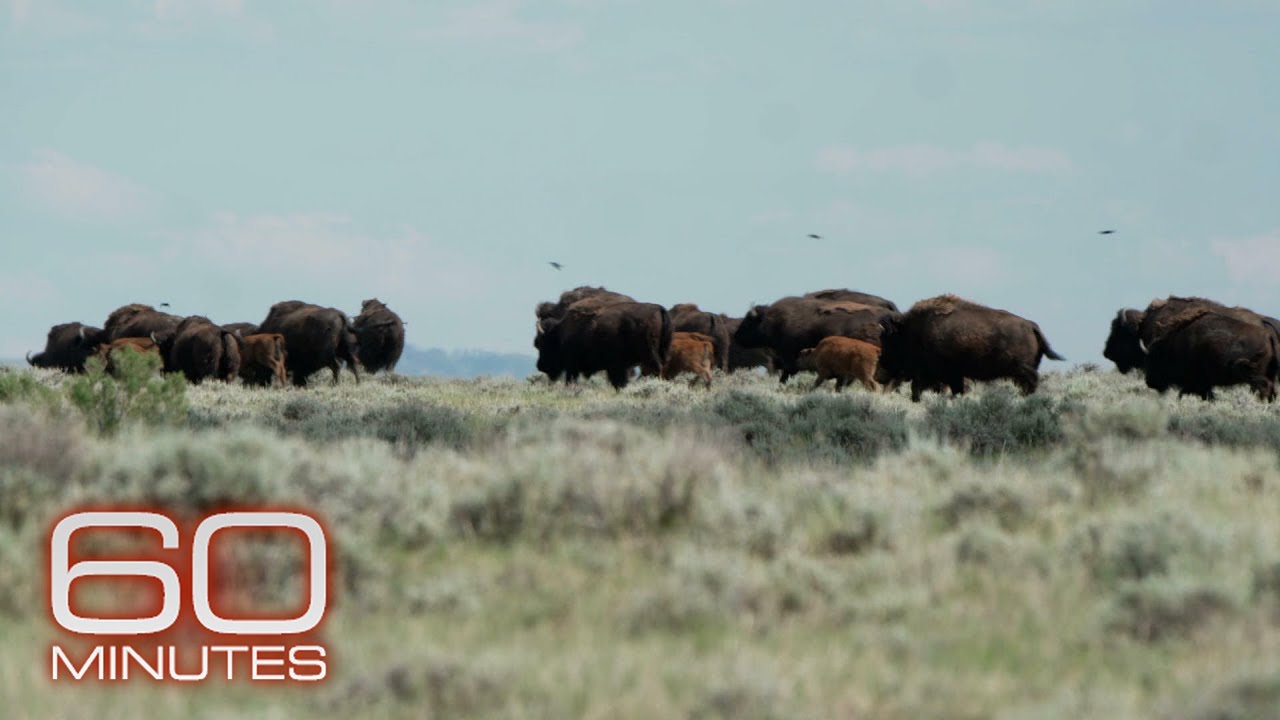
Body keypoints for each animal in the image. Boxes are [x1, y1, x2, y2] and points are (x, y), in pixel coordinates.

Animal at [877, 294, 1065, 401]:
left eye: (888, 339)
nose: (882, 368)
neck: (911, 330)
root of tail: (1031, 325)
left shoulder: (944, 374)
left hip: (1022, 371)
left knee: (1031, 382)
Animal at [1144, 308, 1278, 401]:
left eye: (1155, 356)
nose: (1149, 382)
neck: (1174, 342)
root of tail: (1268, 335)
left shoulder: (1197, 383)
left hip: (1254, 376)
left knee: (1265, 387)